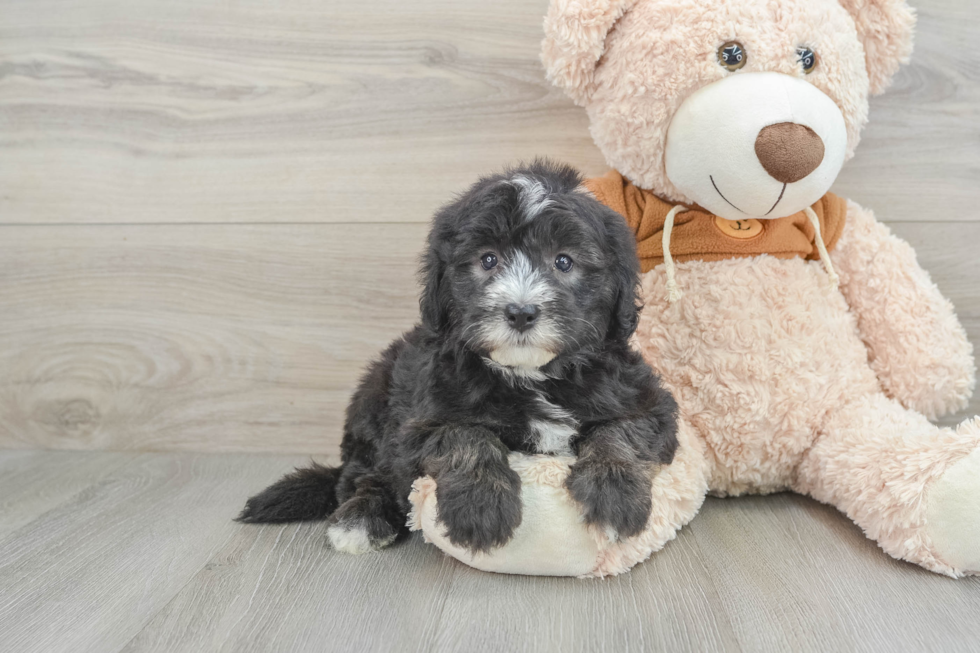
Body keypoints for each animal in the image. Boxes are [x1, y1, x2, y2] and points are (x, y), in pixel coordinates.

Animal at [241, 160, 676, 552]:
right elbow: (465, 434)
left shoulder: (650, 404)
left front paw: (614, 489)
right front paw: (480, 505)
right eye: (488, 259)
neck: (530, 375)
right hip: (374, 397)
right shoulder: (421, 421)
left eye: (564, 261)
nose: (521, 312)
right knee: (362, 476)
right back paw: (361, 519)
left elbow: (620, 431)